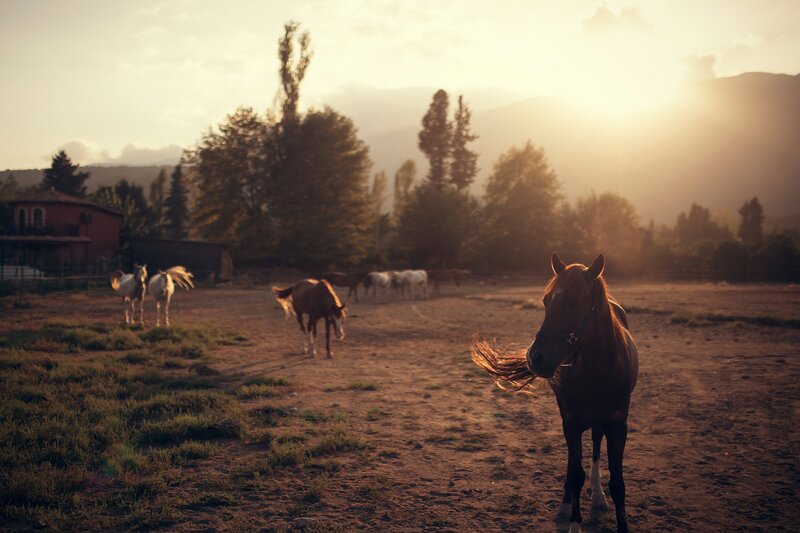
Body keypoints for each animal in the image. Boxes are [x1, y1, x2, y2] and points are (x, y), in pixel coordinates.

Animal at [471, 253, 638, 533]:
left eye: (574, 302)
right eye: (546, 301)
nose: (536, 357)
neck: (599, 368)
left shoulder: (618, 424)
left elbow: (618, 483)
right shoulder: (571, 421)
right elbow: (575, 473)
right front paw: (573, 522)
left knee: (595, 445)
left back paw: (598, 496)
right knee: (574, 464)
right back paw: (566, 505)